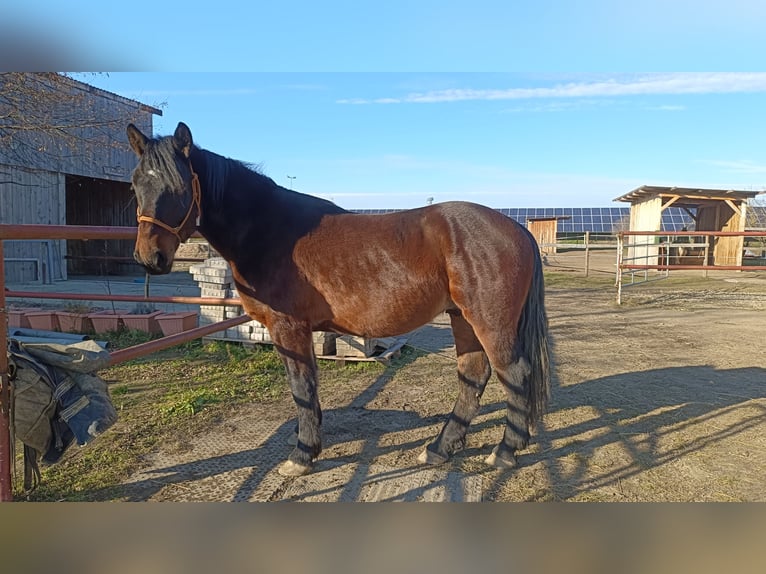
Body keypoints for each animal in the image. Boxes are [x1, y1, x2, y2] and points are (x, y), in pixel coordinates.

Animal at [126, 124, 552, 480]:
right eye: (135, 184)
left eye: (179, 185)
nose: (150, 258)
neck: (270, 230)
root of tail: (516, 229)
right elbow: (307, 389)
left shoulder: (289, 329)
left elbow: (302, 388)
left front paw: (302, 455)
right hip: (462, 318)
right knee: (473, 375)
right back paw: (439, 448)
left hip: (489, 322)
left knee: (514, 375)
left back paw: (505, 452)